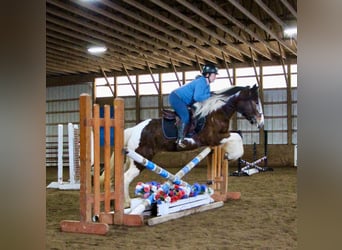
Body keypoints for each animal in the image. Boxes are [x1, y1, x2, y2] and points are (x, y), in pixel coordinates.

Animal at [104, 84, 264, 207]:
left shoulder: (221, 135)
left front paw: (228, 154)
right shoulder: (213, 138)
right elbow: (237, 137)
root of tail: (134, 130)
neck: (214, 113)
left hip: (134, 158)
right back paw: (126, 203)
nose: (261, 123)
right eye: (256, 102)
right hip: (141, 158)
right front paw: (231, 155)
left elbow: (237, 135)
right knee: (126, 177)